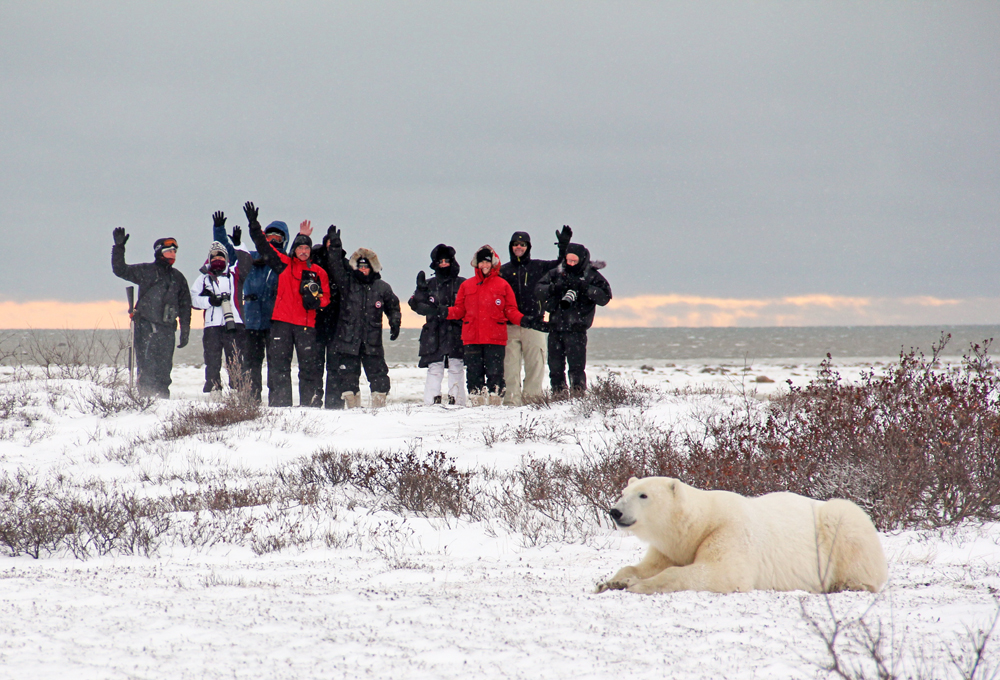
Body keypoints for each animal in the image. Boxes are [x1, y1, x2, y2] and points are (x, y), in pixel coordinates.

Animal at [588, 476, 888, 592]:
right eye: (623, 492)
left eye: (643, 495)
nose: (615, 512)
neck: (698, 525)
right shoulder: (670, 548)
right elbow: (645, 566)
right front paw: (613, 581)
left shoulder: (728, 530)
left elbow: (721, 572)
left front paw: (636, 586)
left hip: (839, 523)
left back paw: (850, 584)